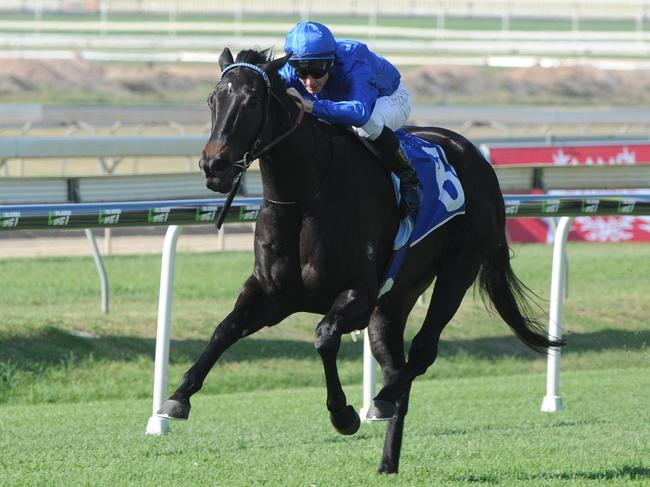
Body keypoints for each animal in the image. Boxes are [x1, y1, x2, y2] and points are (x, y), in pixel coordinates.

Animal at [158, 47, 560, 474]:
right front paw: (177, 397)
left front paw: (344, 413)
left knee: (422, 351)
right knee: (396, 367)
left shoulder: (358, 296)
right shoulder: (271, 294)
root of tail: (479, 160)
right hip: (396, 299)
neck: (305, 197)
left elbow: (324, 337)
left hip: (458, 270)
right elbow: (224, 330)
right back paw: (387, 458)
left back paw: (380, 400)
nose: (213, 166)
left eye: (251, 101)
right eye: (212, 100)